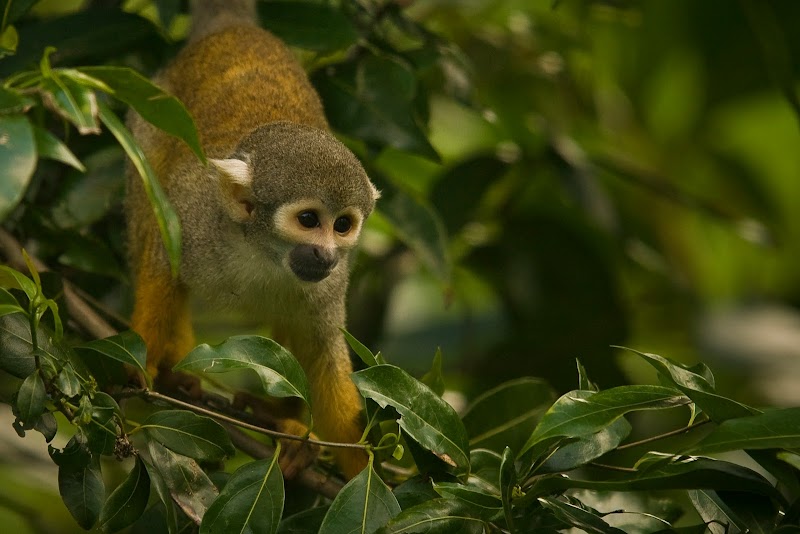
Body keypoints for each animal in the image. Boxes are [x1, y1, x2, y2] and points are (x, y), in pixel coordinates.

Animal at [125, 0, 378, 479]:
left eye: (342, 225)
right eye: (308, 219)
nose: (326, 253)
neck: (263, 254)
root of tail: (234, 25)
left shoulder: (331, 283)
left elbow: (322, 351)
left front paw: (366, 471)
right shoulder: (196, 218)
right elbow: (163, 259)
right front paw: (142, 364)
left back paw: (282, 420)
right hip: (149, 111)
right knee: (148, 200)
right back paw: (174, 364)